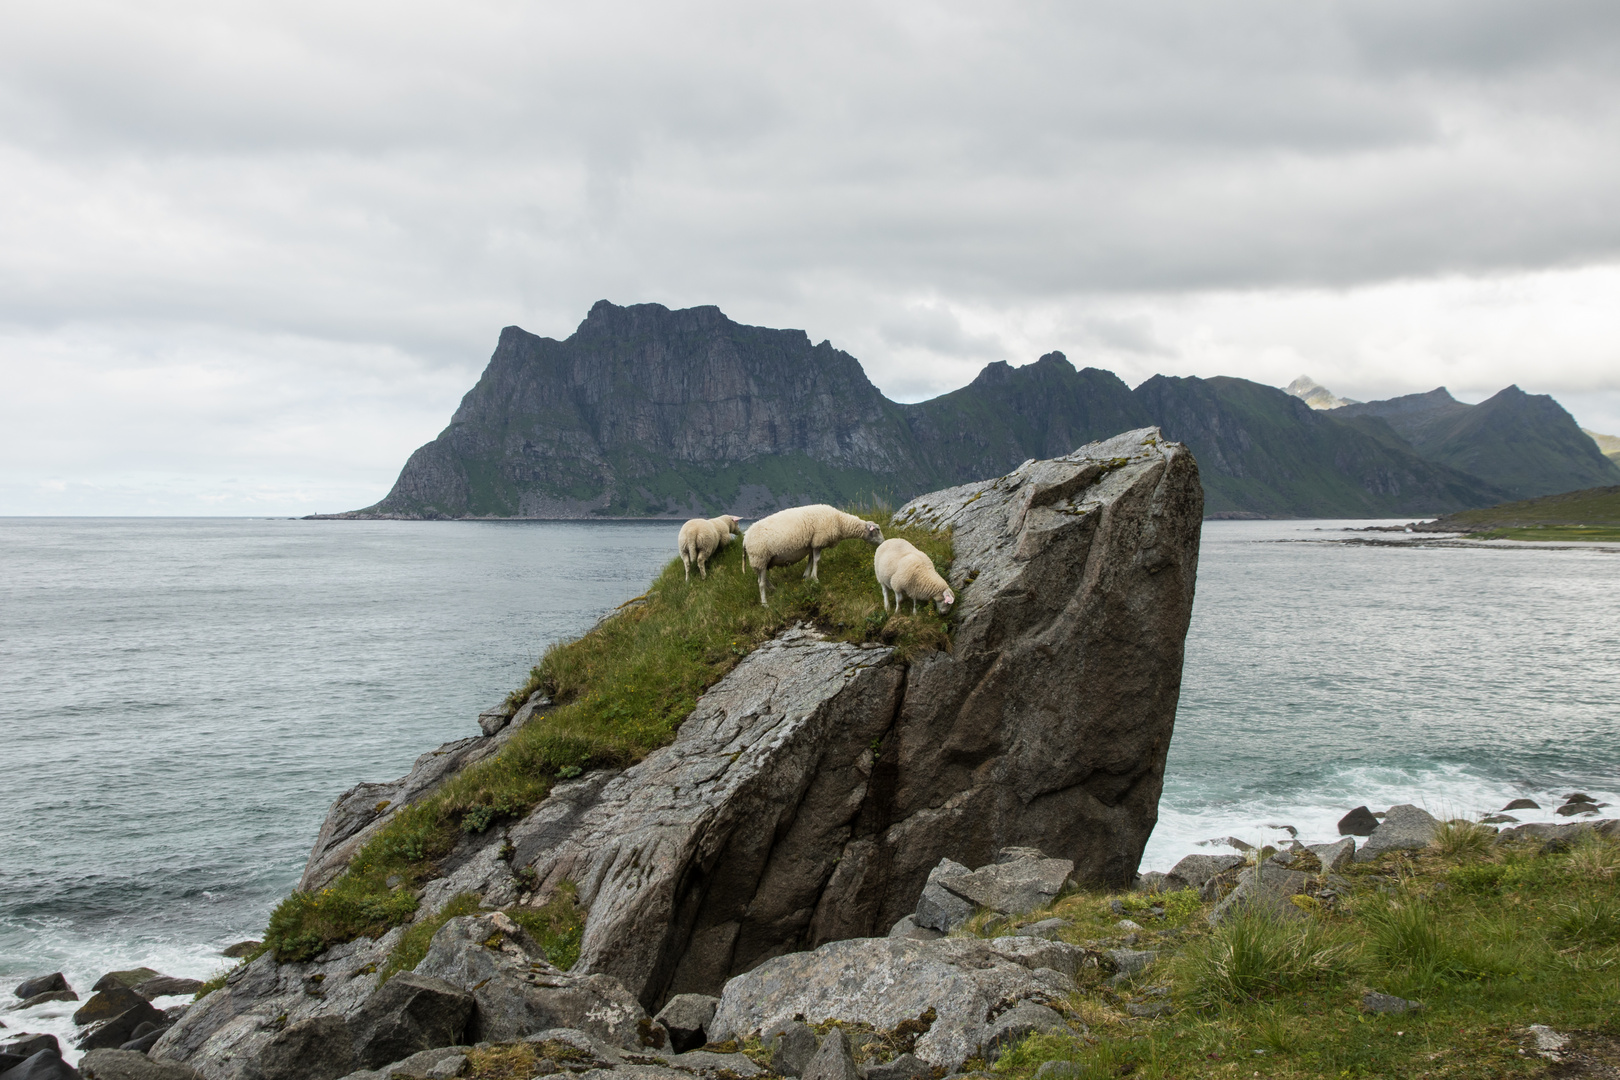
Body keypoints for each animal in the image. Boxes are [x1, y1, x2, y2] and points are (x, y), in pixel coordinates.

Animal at [741, 501, 881, 605]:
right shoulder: (819, 540)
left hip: (761, 561)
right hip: (759, 557)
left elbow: (811, 560)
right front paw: (815, 578)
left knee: (763, 578)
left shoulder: (812, 544)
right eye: (878, 530)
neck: (839, 521)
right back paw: (765, 604)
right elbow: (816, 560)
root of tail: (745, 538)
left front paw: (806, 576)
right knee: (761, 583)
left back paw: (773, 589)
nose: (883, 543)